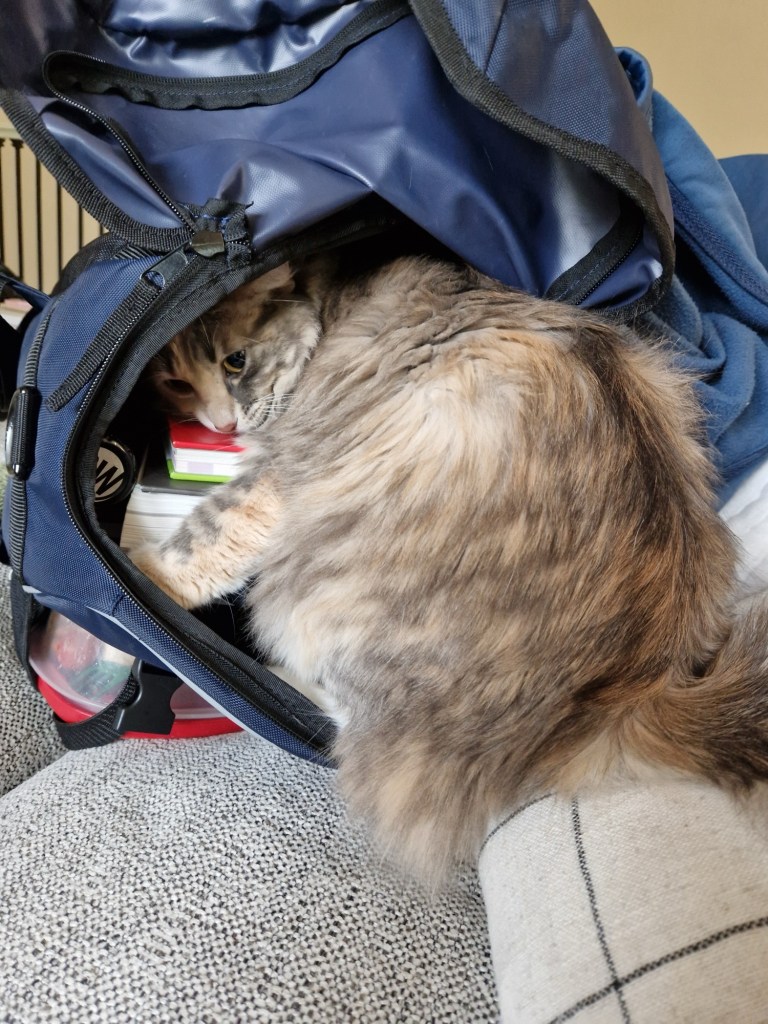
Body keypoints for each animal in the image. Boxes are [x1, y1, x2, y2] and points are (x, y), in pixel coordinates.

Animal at [133, 252, 768, 884]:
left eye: (235, 360)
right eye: (176, 382)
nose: (221, 427)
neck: (335, 296)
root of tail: (630, 693)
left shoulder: (277, 473)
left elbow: (203, 538)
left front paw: (138, 577)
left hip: (315, 607)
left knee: (347, 729)